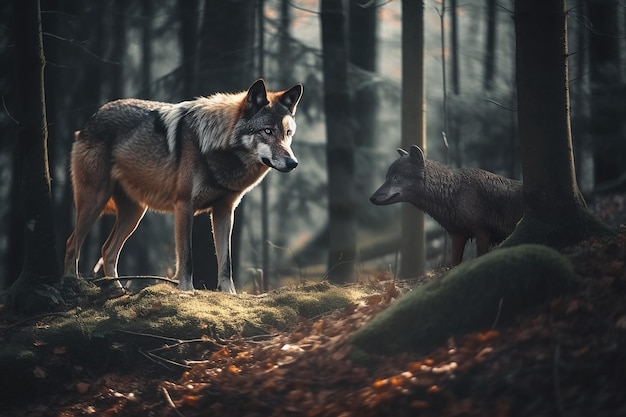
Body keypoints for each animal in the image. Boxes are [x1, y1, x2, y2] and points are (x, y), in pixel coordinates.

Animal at [62, 78, 302, 292]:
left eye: (288, 133)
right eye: (267, 131)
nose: (293, 163)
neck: (215, 148)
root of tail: (91, 119)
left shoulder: (224, 211)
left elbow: (226, 263)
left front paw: (230, 295)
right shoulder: (184, 206)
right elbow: (186, 259)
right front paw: (186, 291)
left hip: (135, 213)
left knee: (107, 250)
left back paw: (118, 291)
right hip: (95, 202)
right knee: (72, 243)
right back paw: (72, 284)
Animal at [370, 145, 520, 264]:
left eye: (396, 177)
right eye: (387, 177)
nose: (371, 198)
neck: (453, 193)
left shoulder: (482, 232)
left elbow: (480, 256)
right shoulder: (457, 236)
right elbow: (454, 264)